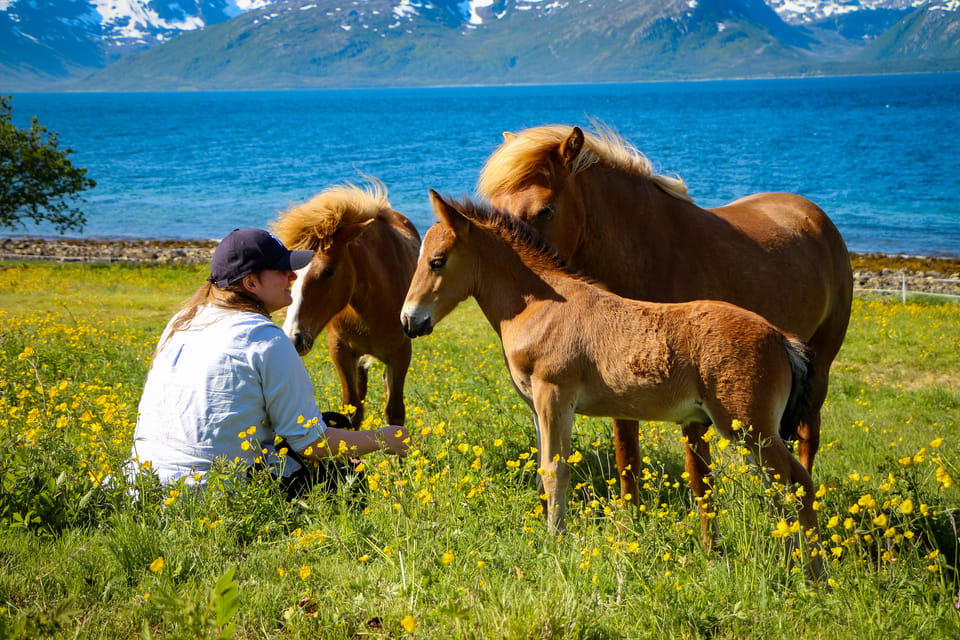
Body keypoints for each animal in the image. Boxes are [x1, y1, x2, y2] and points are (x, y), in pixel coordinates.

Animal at [270, 180, 420, 428]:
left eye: (329, 271)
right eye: (291, 274)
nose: (293, 338)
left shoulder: (400, 354)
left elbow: (395, 413)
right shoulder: (341, 352)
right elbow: (351, 410)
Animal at [402, 191, 828, 580]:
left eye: (437, 261)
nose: (409, 320)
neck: (541, 307)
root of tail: (780, 338)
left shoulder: (554, 397)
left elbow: (555, 471)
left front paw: (556, 540)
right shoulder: (538, 406)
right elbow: (544, 471)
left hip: (749, 428)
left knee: (797, 486)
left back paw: (809, 573)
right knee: (787, 488)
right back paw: (799, 566)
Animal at [476, 125, 852, 504]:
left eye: (545, 210)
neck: (647, 254)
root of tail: (814, 215)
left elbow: (698, 473)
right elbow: (627, 453)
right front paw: (632, 511)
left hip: (818, 369)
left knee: (807, 439)